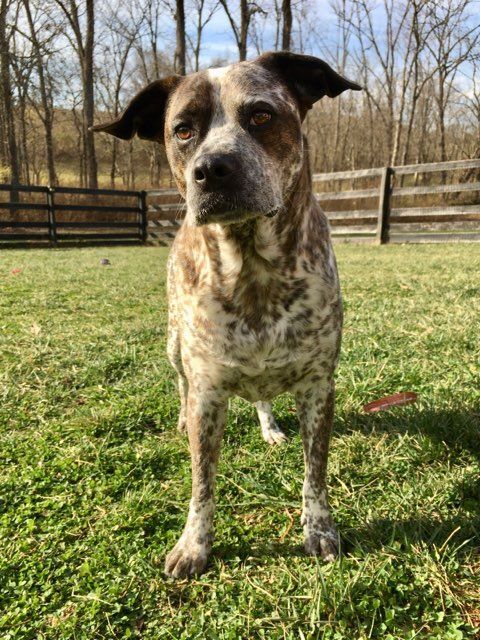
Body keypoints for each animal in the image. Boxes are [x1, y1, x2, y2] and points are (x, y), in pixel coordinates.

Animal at [93, 52, 360, 576]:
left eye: (261, 115)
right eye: (182, 130)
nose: (211, 169)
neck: (253, 269)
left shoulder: (319, 387)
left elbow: (315, 472)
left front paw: (319, 528)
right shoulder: (209, 392)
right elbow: (202, 484)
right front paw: (194, 545)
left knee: (262, 398)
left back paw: (270, 427)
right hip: (174, 345)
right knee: (180, 383)